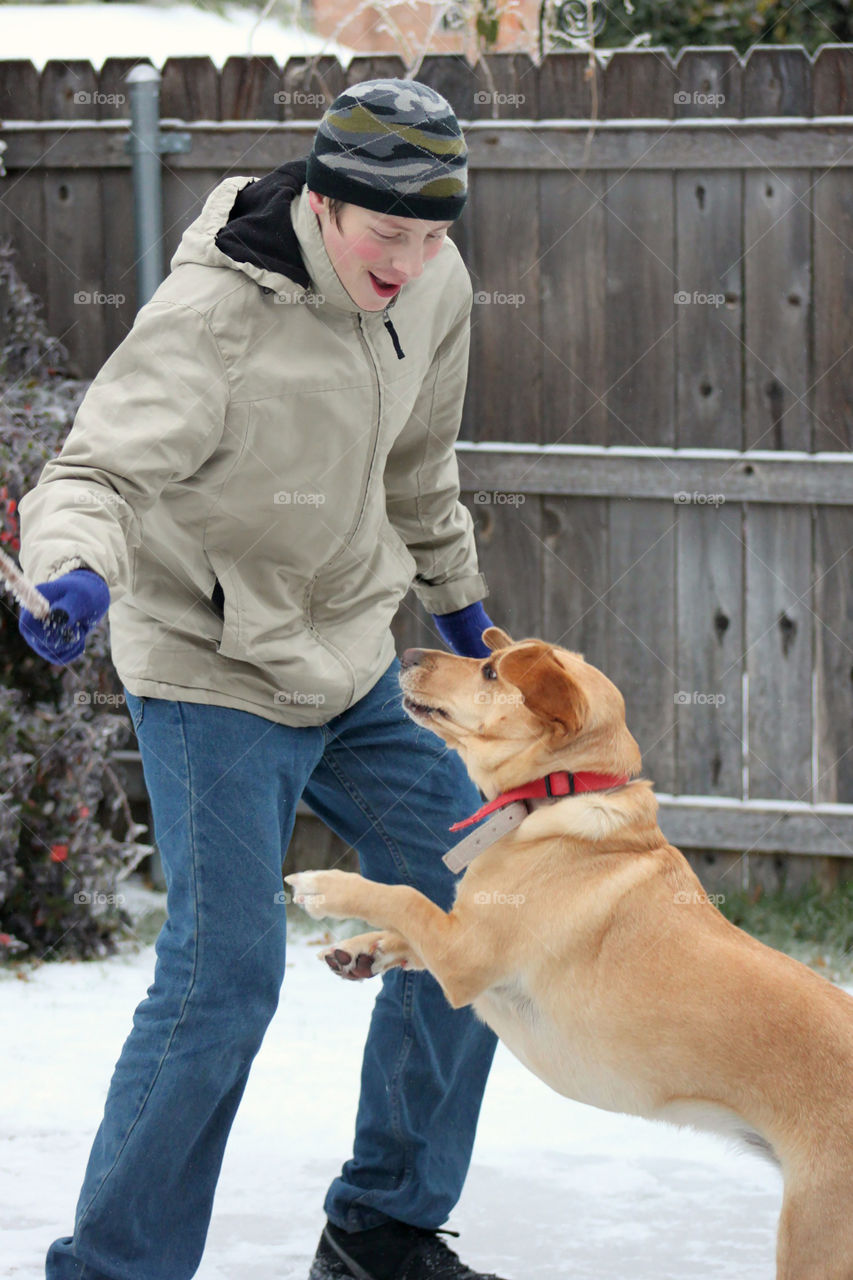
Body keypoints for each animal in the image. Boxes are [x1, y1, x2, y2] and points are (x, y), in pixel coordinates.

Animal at [284, 632, 850, 1280]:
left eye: (490, 671)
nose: (407, 656)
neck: (557, 798)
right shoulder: (462, 937)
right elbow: (409, 924)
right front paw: (362, 951)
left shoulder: (464, 956)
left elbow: (404, 898)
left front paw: (325, 886)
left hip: (815, 1240)